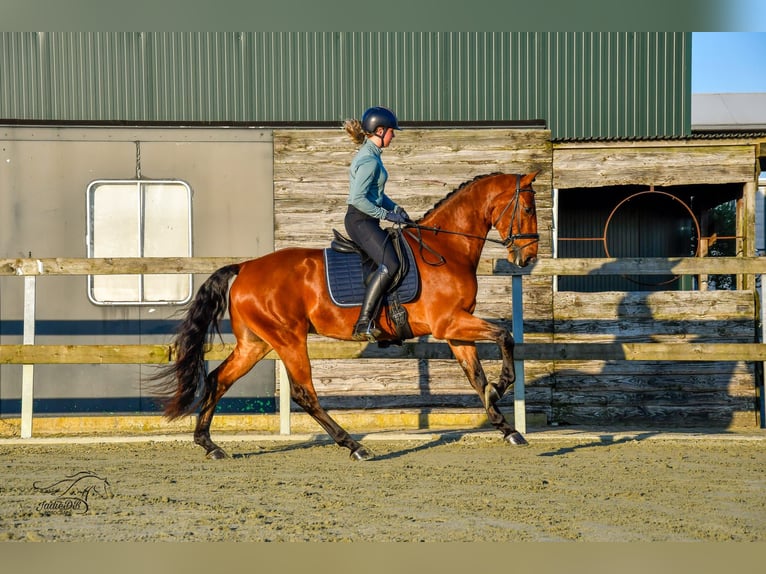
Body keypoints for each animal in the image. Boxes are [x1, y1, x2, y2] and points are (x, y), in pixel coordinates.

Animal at [154, 172, 540, 464]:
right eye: (527, 207)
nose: (528, 258)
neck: (446, 250)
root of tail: (245, 267)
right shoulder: (449, 322)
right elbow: (505, 336)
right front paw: (502, 386)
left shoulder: (455, 329)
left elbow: (476, 377)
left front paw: (506, 426)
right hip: (288, 339)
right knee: (304, 392)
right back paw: (353, 445)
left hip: (256, 343)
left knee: (218, 379)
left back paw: (209, 444)